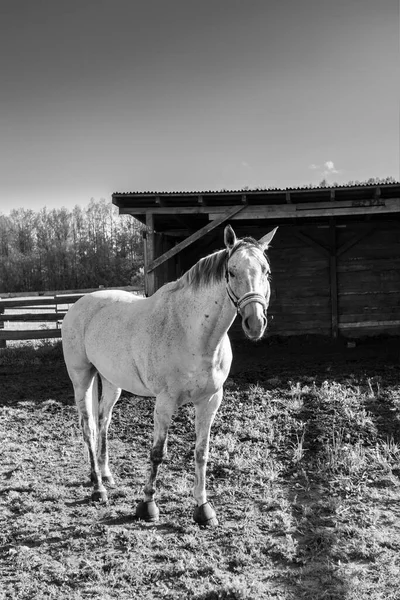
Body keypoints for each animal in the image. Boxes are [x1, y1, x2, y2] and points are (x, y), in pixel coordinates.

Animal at [61, 224, 276, 524]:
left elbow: (201, 452)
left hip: (111, 381)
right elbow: (157, 453)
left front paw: (203, 508)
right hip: (82, 377)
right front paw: (147, 505)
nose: (255, 323)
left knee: (103, 421)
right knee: (88, 427)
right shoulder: (165, 401)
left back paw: (106, 475)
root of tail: (78, 305)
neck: (193, 333)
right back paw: (97, 488)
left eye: (266, 271)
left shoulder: (210, 401)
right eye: (232, 271)